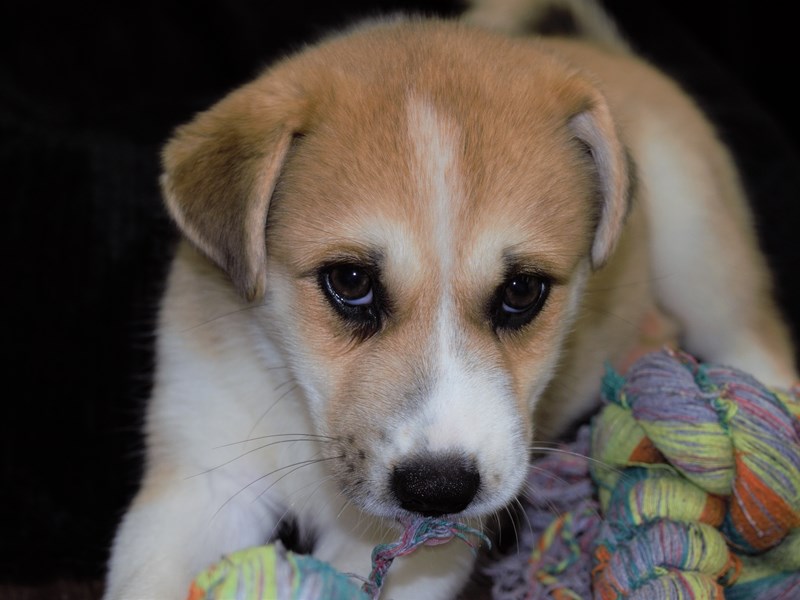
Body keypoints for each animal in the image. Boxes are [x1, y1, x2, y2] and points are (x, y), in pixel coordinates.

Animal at [103, 1, 796, 596]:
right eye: (349, 281)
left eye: (522, 290)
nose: (438, 490)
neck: (302, 413)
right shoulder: (194, 484)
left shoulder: (415, 550)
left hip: (703, 255)